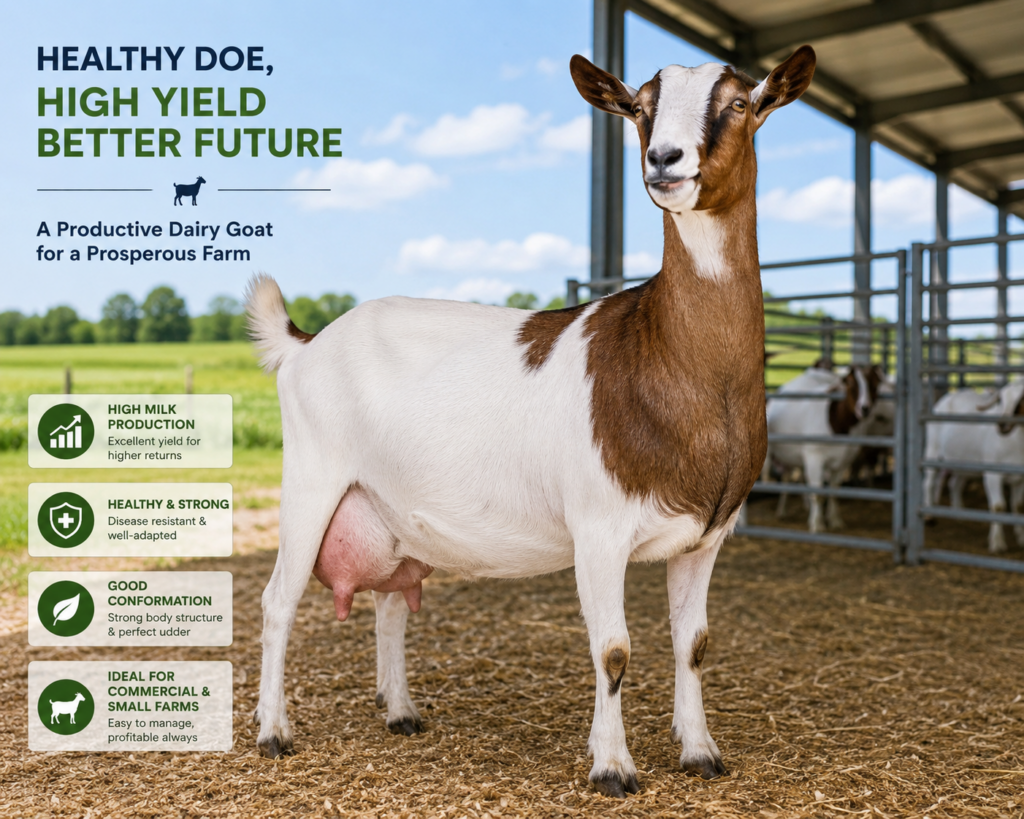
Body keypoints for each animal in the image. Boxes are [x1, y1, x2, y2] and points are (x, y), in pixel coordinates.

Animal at [247, 46, 815, 798]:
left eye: (742, 104)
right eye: (639, 109)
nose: (664, 159)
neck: (663, 354)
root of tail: (305, 342)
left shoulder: (707, 535)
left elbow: (693, 644)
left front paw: (700, 751)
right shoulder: (598, 527)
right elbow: (613, 649)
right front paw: (612, 766)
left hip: (390, 509)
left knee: (391, 602)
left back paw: (400, 711)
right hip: (312, 481)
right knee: (278, 600)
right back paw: (273, 731)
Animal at [764, 365, 885, 532]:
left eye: (875, 383)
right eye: (850, 383)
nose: (865, 408)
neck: (837, 422)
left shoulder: (843, 461)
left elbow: (834, 491)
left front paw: (835, 520)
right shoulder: (814, 458)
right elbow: (818, 494)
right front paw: (817, 524)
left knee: (789, 478)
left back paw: (787, 509)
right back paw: (784, 512)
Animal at [923, 381, 1024, 553]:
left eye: (1021, 400)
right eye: (1001, 400)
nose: (1002, 425)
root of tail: (949, 396)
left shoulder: (1020, 479)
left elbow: (1018, 507)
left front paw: (1021, 537)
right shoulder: (992, 474)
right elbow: (998, 506)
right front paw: (997, 543)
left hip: (961, 462)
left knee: (954, 483)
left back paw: (958, 513)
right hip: (932, 450)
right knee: (928, 482)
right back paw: (929, 516)